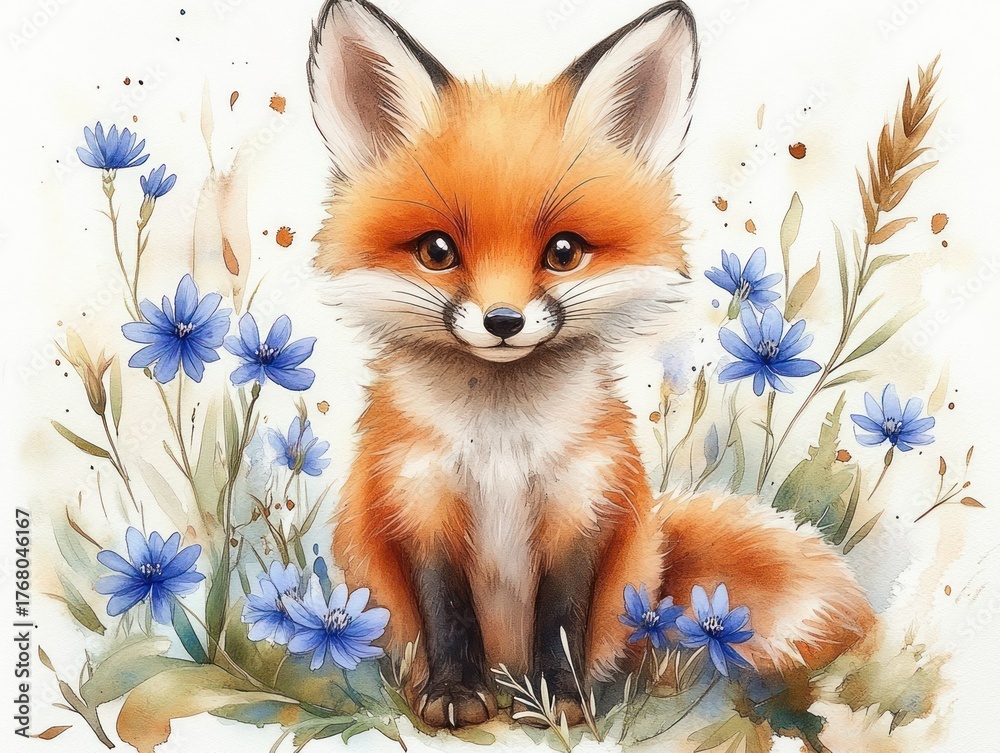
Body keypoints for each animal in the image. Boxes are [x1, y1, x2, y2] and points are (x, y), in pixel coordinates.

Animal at [308, 0, 875, 729]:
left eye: (564, 252)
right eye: (437, 251)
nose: (502, 322)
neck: (501, 441)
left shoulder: (583, 503)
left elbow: (561, 616)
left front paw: (560, 700)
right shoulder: (418, 502)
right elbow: (448, 613)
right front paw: (455, 695)